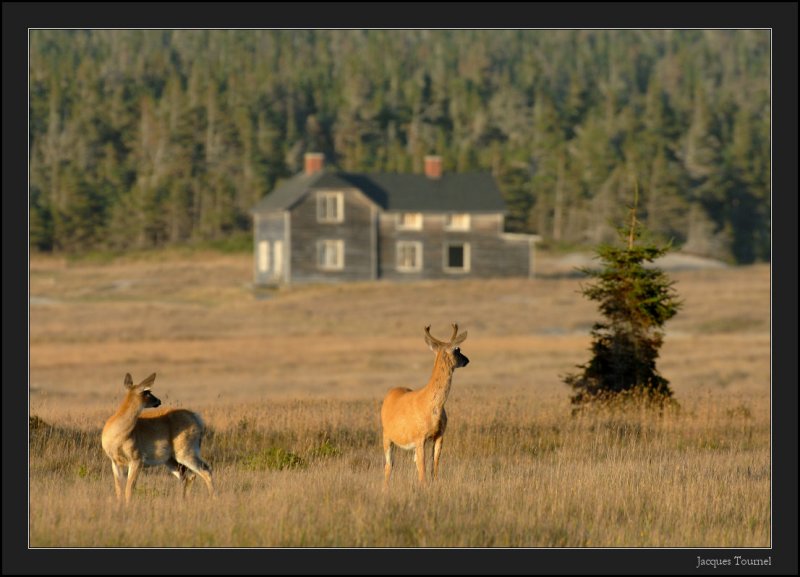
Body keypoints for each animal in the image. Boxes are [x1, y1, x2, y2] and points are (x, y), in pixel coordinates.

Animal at [101, 372, 216, 502]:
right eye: (147, 392)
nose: (159, 401)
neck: (118, 436)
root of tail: (197, 418)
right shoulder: (115, 462)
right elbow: (119, 490)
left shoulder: (137, 459)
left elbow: (129, 489)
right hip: (171, 459)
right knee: (189, 475)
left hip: (186, 452)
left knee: (205, 470)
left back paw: (213, 499)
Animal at [382, 324, 468, 486]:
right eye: (457, 349)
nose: (467, 360)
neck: (431, 406)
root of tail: (390, 393)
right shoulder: (419, 437)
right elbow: (423, 471)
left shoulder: (439, 435)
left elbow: (434, 466)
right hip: (387, 436)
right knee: (389, 465)